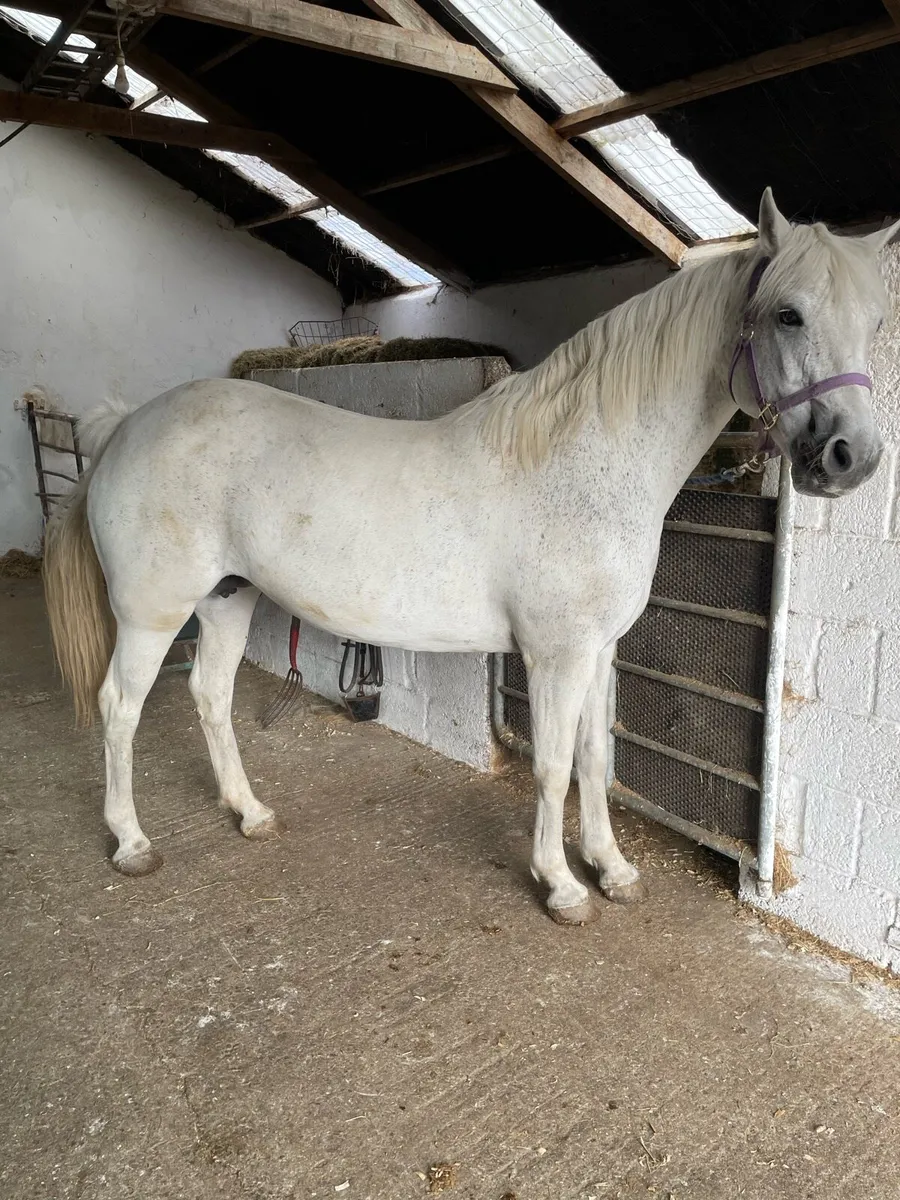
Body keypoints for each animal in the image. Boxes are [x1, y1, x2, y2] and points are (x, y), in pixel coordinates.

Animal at [43, 190, 899, 924]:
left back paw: (249, 814)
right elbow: (552, 767)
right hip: (153, 613)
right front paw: (561, 887)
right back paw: (132, 842)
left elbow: (596, 759)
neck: (581, 461)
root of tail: (126, 427)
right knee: (120, 709)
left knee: (211, 698)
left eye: (874, 321)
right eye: (788, 314)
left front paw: (613, 869)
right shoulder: (554, 655)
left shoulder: (598, 650)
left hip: (227, 597)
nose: (851, 457)